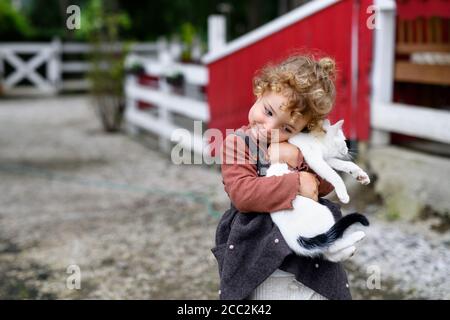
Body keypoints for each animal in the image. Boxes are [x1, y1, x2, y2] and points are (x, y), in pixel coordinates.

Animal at [268, 119, 370, 258]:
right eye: (344, 140)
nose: (347, 148)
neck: (319, 141)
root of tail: (298, 240)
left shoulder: (326, 159)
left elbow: (346, 164)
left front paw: (361, 175)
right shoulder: (316, 160)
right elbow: (334, 175)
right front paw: (343, 194)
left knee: (328, 250)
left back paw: (349, 251)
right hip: (326, 213)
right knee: (332, 244)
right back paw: (358, 235)